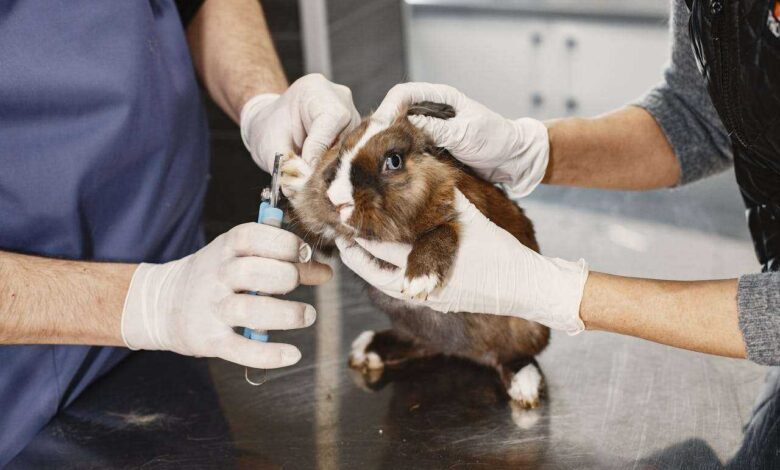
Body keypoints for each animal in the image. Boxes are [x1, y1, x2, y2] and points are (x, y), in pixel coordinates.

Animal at [278, 100, 548, 408]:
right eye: (340, 151)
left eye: (393, 160)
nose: (338, 199)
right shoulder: (331, 239)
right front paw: (294, 174)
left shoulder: (462, 213)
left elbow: (443, 231)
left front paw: (420, 280)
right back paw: (367, 350)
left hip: (527, 328)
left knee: (513, 356)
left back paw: (525, 386)